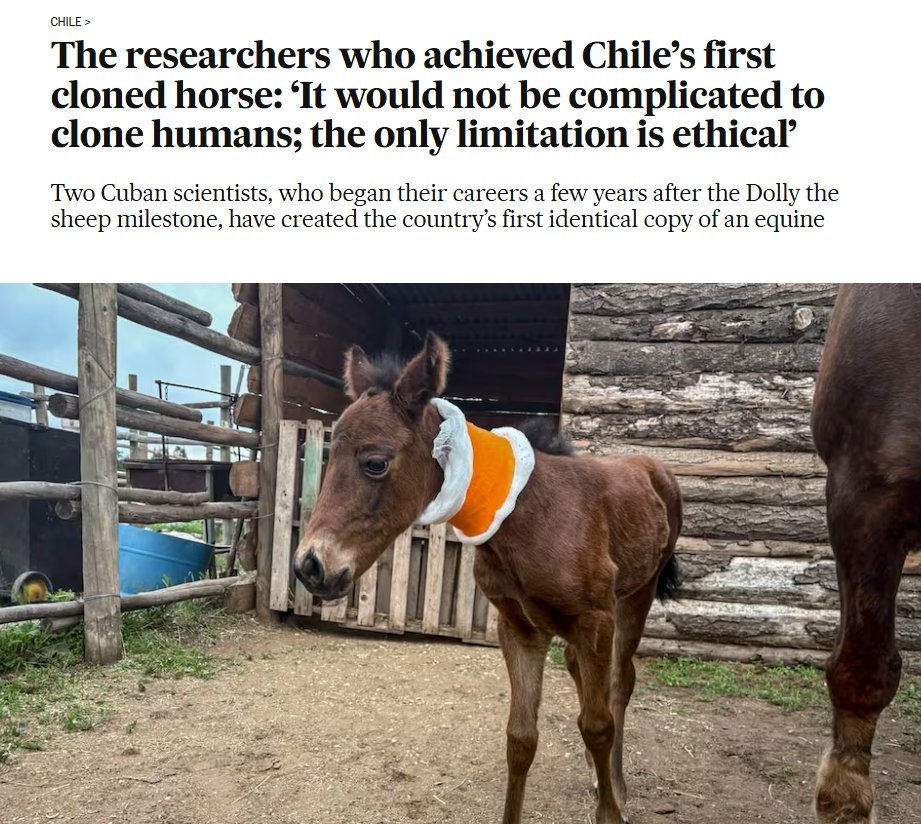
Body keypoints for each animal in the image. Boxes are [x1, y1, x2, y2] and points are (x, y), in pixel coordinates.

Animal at [293, 332, 682, 824]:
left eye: (376, 462)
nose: (310, 565)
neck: (528, 515)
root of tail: (655, 468)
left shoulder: (595, 619)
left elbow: (598, 725)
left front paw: (610, 811)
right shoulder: (518, 627)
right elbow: (521, 737)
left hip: (636, 597)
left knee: (620, 683)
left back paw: (615, 785)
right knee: (580, 672)